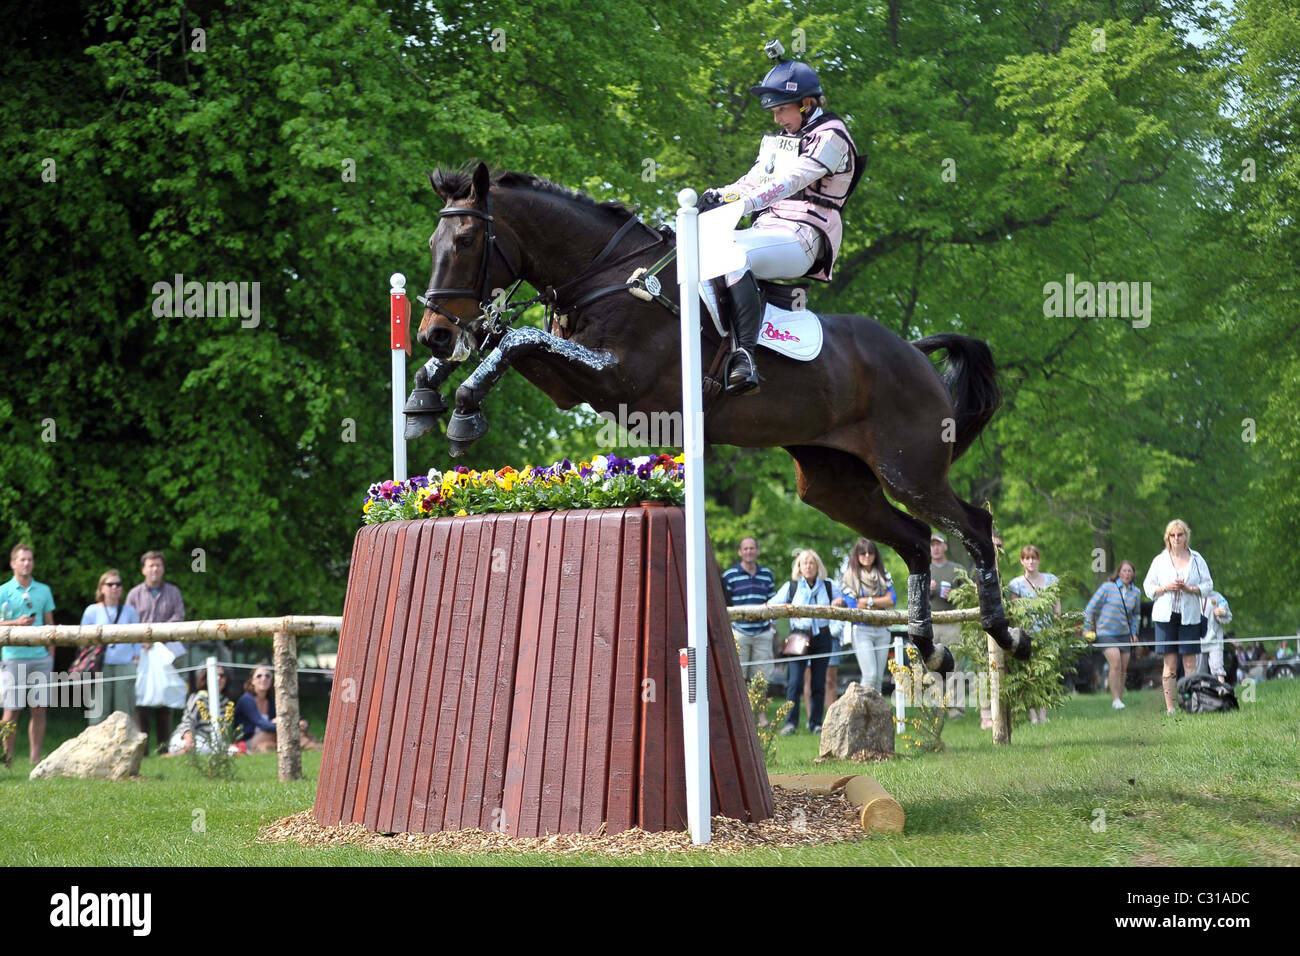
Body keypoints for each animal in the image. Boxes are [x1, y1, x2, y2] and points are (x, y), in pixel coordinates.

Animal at [405, 162, 1024, 671]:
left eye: (466, 240)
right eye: (433, 240)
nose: (433, 332)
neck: (609, 276)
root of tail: (914, 352)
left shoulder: (615, 378)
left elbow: (516, 339)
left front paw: (463, 411)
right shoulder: (569, 380)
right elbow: (505, 339)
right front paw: (424, 397)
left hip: (909, 471)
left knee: (973, 529)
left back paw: (1008, 636)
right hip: (835, 486)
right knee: (916, 540)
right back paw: (929, 648)